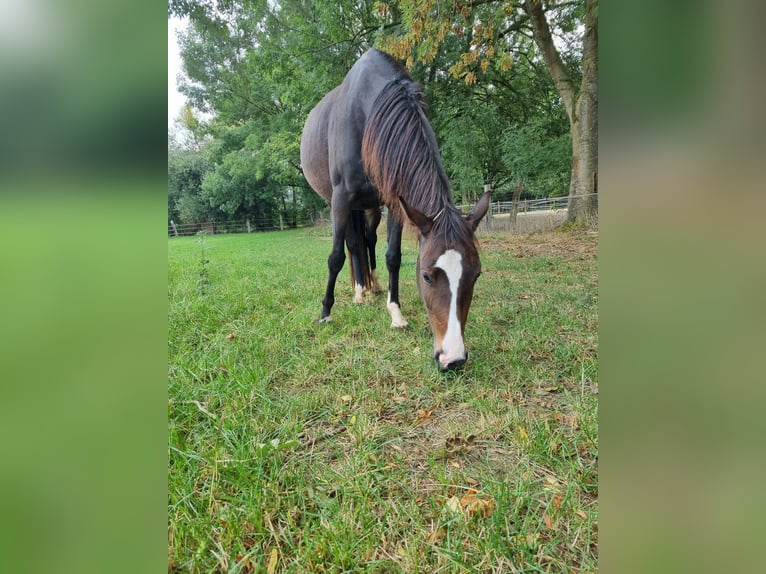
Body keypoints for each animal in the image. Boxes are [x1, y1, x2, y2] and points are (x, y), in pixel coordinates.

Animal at [300, 49, 490, 371]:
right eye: (426, 276)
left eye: (475, 275)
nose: (453, 359)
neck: (368, 113)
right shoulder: (340, 200)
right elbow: (336, 257)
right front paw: (325, 312)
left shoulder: (394, 202)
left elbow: (392, 256)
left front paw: (396, 312)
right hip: (340, 204)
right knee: (352, 244)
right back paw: (359, 291)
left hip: (370, 207)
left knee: (366, 241)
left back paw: (372, 286)